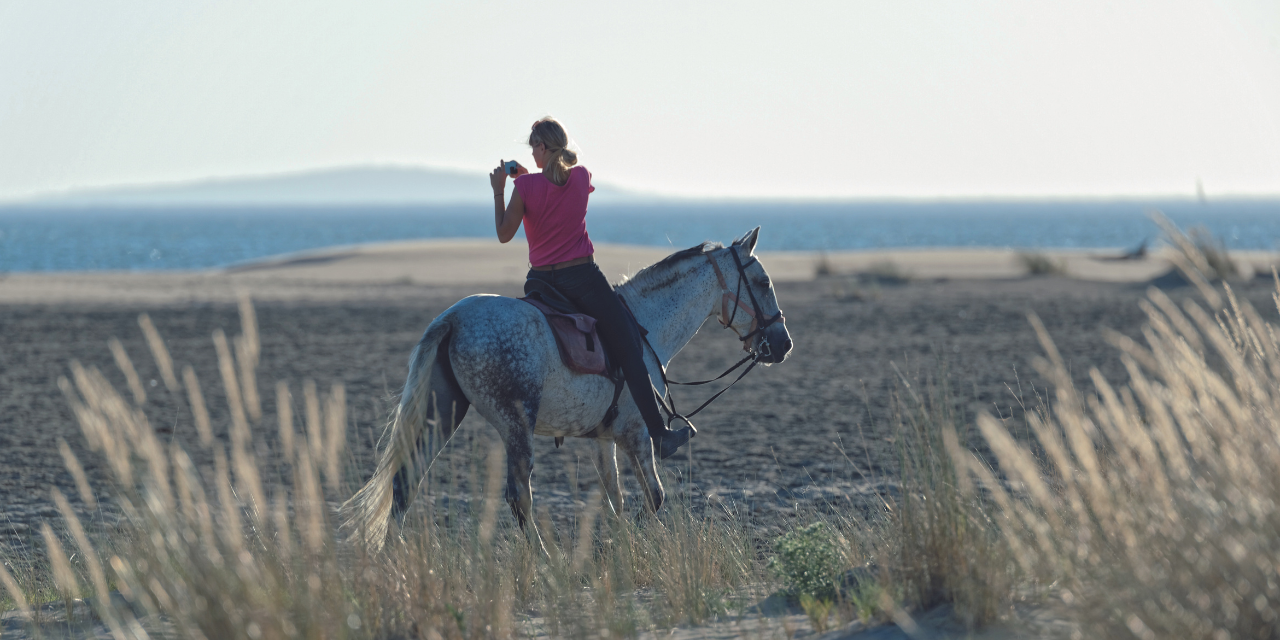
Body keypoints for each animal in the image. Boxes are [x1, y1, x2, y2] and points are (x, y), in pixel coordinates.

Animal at [345, 227, 793, 547]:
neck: (645, 324)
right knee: (518, 496)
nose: (783, 343)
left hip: (442, 414)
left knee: (406, 482)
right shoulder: (637, 434)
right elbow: (654, 496)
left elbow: (616, 498)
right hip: (515, 425)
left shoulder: (603, 440)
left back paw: (397, 561)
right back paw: (544, 560)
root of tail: (453, 319)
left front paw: (620, 549)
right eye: (763, 281)